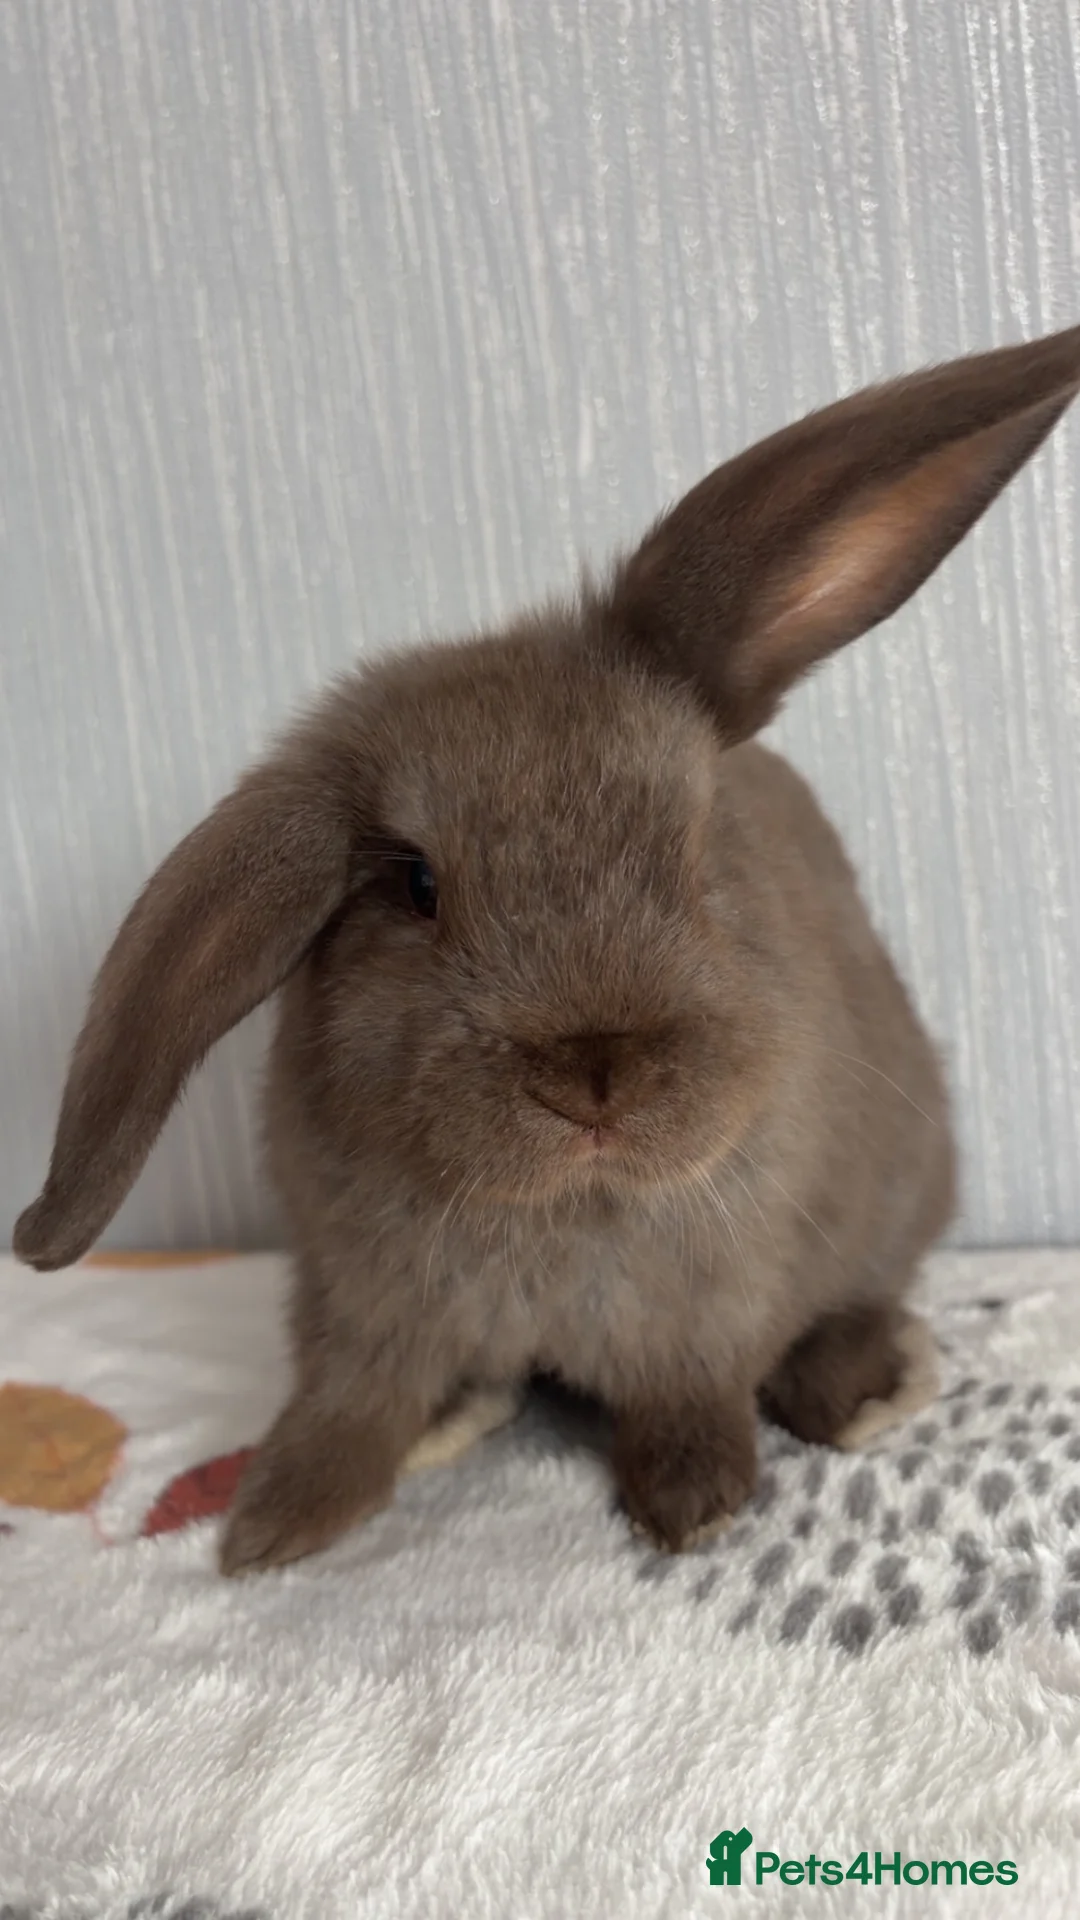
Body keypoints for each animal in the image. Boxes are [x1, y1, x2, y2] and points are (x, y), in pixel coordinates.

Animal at [15, 323, 1080, 1576]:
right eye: (417, 887)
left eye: (696, 844)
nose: (593, 1074)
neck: (566, 1212)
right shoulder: (352, 1305)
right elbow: (345, 1410)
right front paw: (271, 1527)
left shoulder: (710, 1308)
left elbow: (690, 1397)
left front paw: (695, 1504)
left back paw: (865, 1386)